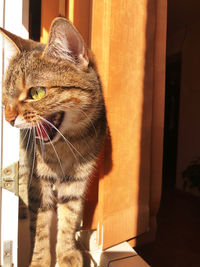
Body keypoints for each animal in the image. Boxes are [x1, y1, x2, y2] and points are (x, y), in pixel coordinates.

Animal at [0, 17, 106, 266]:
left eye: (37, 92)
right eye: (6, 95)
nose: (8, 118)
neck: (67, 144)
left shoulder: (77, 180)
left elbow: (69, 217)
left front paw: (67, 253)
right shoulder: (39, 180)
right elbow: (40, 225)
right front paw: (39, 260)